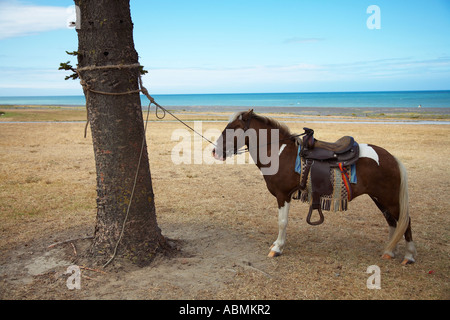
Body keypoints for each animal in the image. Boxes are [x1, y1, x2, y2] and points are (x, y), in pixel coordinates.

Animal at [213, 109, 416, 264]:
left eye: (233, 129)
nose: (215, 151)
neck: (279, 153)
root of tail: (391, 157)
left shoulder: (283, 195)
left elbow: (282, 222)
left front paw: (277, 248)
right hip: (379, 198)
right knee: (392, 222)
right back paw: (389, 251)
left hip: (389, 199)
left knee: (405, 222)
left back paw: (409, 256)